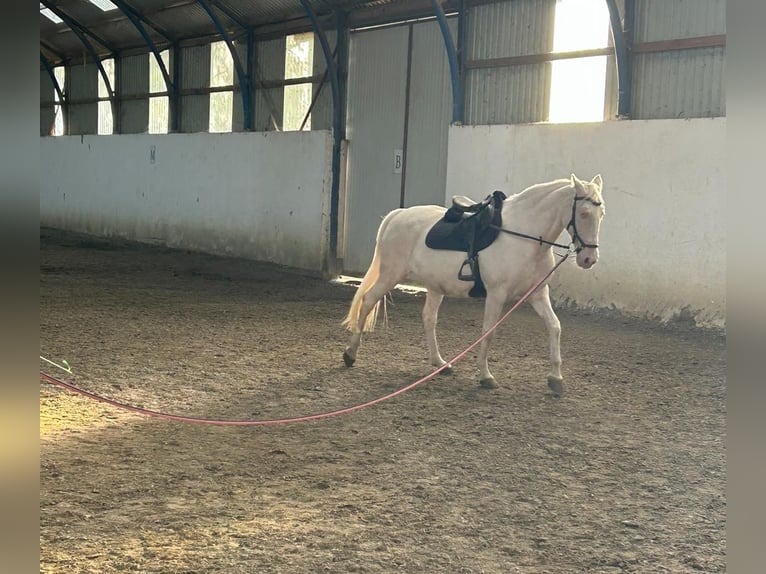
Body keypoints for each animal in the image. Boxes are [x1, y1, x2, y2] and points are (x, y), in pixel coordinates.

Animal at [344, 173, 608, 394]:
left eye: (602, 214)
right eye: (584, 213)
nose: (589, 259)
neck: (525, 237)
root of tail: (399, 214)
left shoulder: (537, 294)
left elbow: (555, 327)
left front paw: (556, 379)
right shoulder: (496, 294)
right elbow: (489, 332)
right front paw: (485, 377)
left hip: (434, 287)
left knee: (429, 318)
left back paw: (440, 363)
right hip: (391, 275)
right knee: (367, 301)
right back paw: (350, 354)